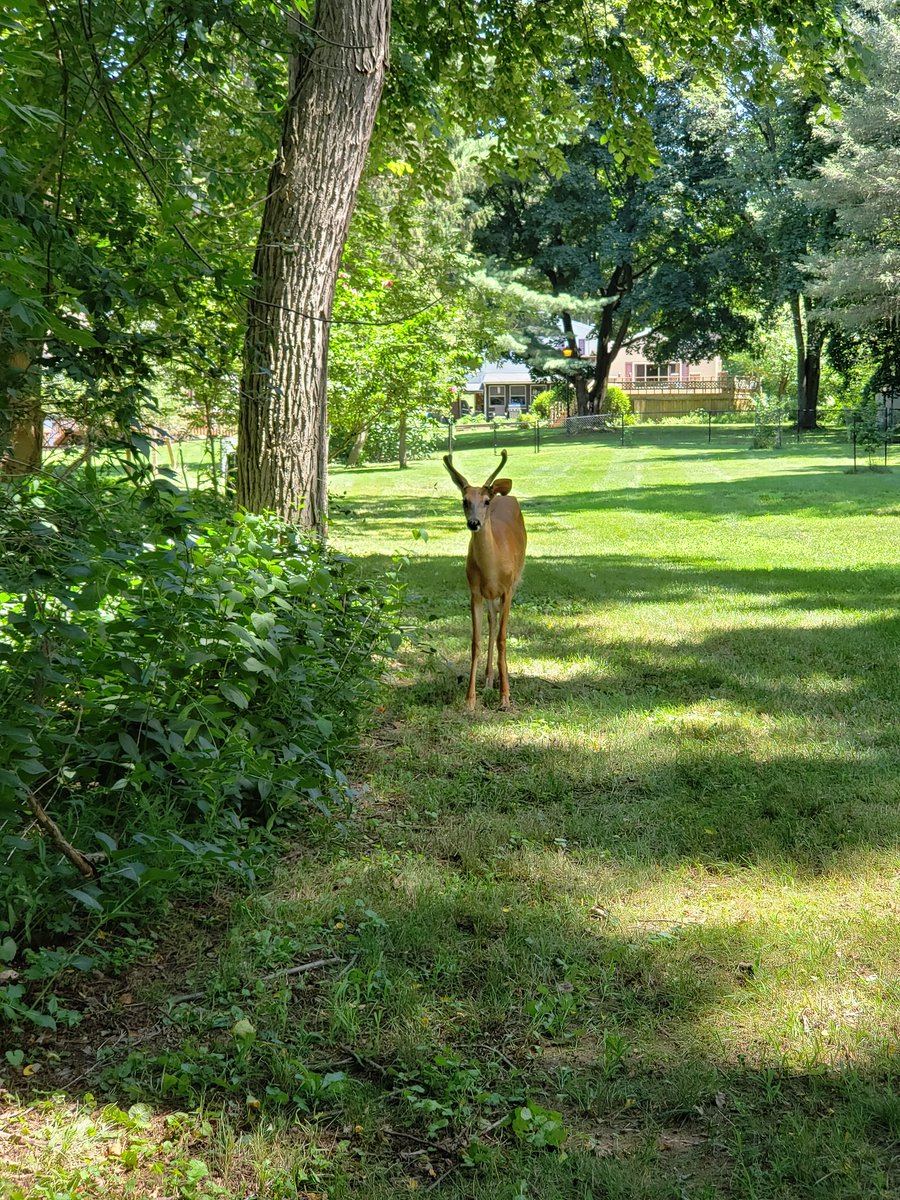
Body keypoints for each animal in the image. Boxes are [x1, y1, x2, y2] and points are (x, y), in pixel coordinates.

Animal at [443, 449, 527, 712]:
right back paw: (489, 679)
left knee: (500, 627)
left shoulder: (508, 588)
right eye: (464, 501)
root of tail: (507, 497)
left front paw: (505, 697)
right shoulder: (475, 591)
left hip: (515, 580)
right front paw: (470, 699)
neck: (492, 568)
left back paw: (501, 680)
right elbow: (475, 642)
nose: (474, 523)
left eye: (486, 501)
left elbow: (502, 639)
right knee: (492, 620)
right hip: (490, 595)